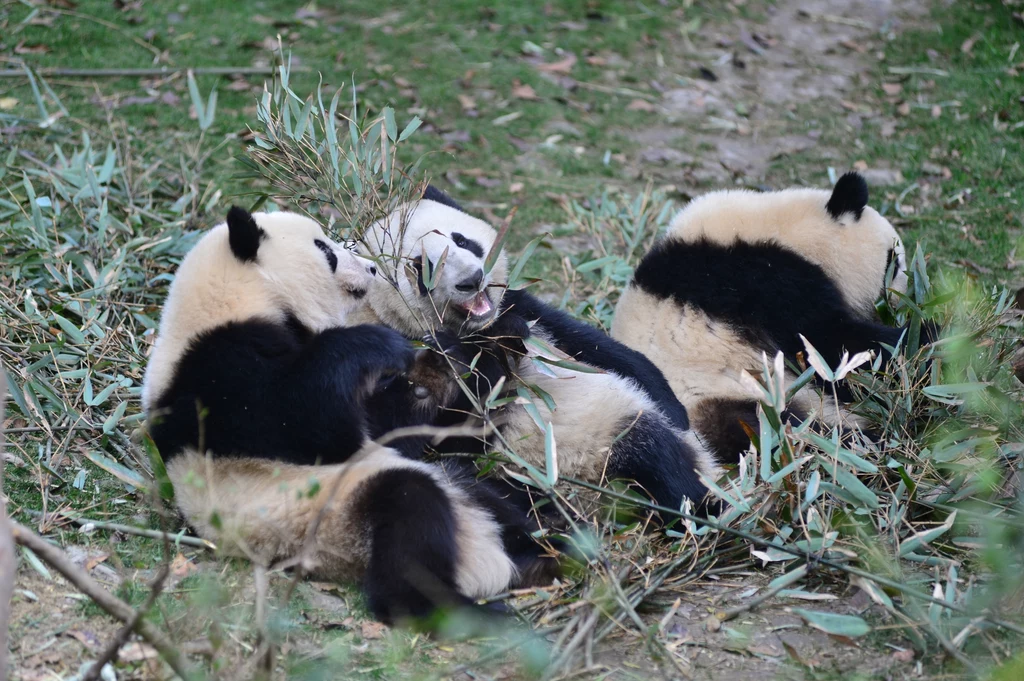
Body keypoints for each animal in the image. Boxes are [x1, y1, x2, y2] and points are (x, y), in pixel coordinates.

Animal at [610, 174, 917, 462]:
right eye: (893, 262)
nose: (904, 301)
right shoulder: (764, 283)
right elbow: (831, 345)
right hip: (719, 394)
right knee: (776, 430)